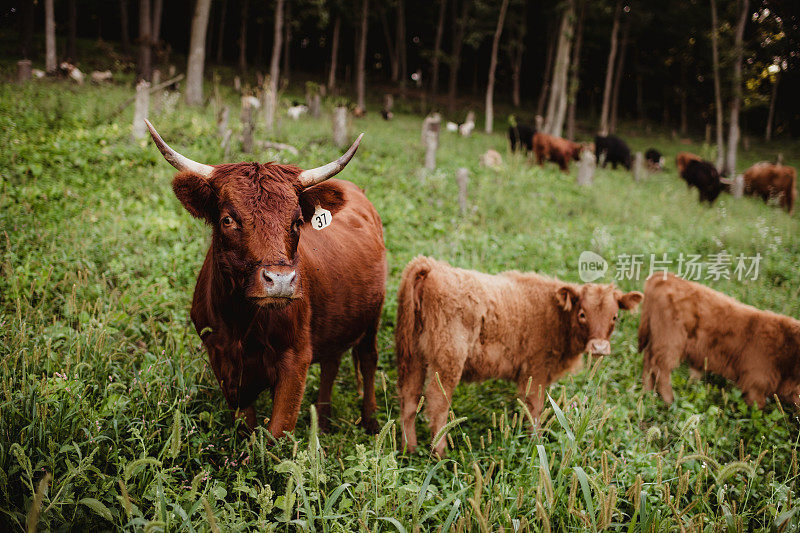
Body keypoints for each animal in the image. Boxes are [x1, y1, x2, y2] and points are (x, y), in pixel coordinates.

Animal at [150, 122, 390, 438]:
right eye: (228, 220)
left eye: (297, 221)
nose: (280, 280)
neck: (240, 323)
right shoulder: (222, 360)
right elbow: (246, 426)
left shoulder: (295, 359)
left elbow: (277, 434)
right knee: (332, 360)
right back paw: (324, 420)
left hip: (373, 315)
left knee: (368, 358)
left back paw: (371, 420)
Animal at [636, 274, 800, 408]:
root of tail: (666, 277)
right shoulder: (756, 382)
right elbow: (757, 409)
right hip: (670, 342)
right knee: (660, 368)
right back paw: (669, 401)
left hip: (656, 339)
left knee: (648, 363)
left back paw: (647, 395)